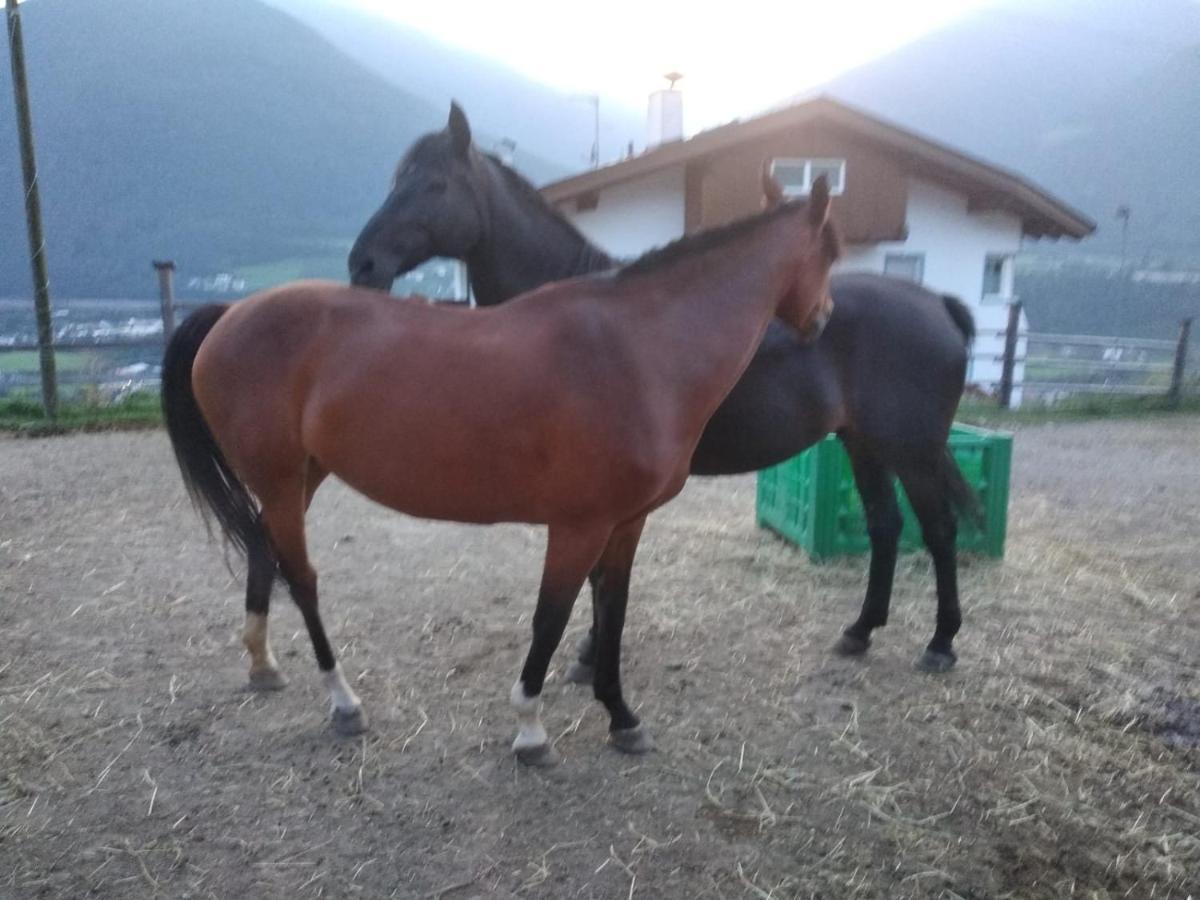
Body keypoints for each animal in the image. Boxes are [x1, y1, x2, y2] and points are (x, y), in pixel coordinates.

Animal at [159, 172, 840, 763]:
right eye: (831, 250)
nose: (825, 316)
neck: (638, 350)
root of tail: (229, 315)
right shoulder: (579, 526)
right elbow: (552, 617)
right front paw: (531, 729)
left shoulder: (626, 523)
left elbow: (612, 612)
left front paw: (622, 718)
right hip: (280, 480)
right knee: (301, 577)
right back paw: (343, 702)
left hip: (299, 477)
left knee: (263, 548)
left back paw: (262, 663)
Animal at [345, 103, 974, 676]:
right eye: (397, 180)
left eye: (435, 184)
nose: (362, 263)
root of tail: (938, 303)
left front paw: (590, 655)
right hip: (864, 444)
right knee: (886, 526)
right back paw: (860, 631)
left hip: (912, 452)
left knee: (940, 529)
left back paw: (941, 642)